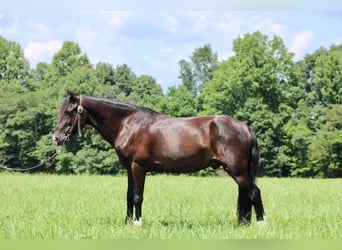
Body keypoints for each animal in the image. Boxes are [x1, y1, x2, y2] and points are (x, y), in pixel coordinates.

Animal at [53, 92, 266, 227]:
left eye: (70, 111)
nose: (56, 138)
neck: (128, 124)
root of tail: (245, 127)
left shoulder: (139, 168)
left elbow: (138, 196)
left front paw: (138, 223)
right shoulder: (129, 169)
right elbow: (129, 196)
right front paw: (127, 223)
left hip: (237, 171)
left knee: (254, 192)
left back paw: (262, 224)